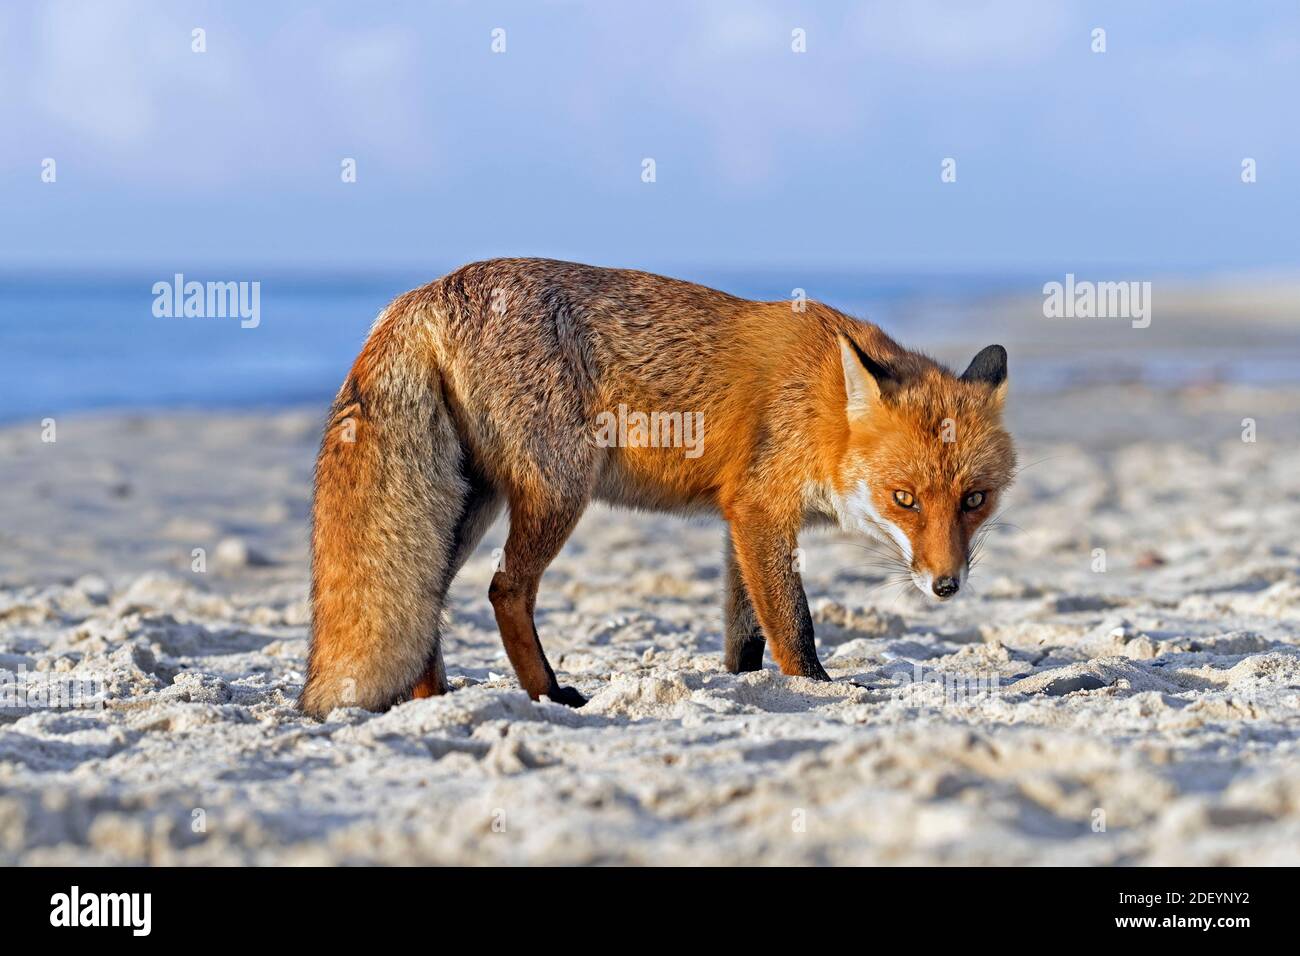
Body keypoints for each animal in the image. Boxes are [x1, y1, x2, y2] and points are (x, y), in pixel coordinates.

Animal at [301, 257, 1013, 723]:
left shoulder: (742, 518)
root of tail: (422, 294)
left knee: (427, 597)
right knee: (504, 590)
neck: (822, 406)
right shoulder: (761, 510)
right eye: (905, 499)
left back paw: (435, 699)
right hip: (560, 490)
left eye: (974, 500)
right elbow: (794, 626)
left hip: (470, 504)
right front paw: (819, 688)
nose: (946, 586)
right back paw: (547, 694)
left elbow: (745, 635)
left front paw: (752, 691)